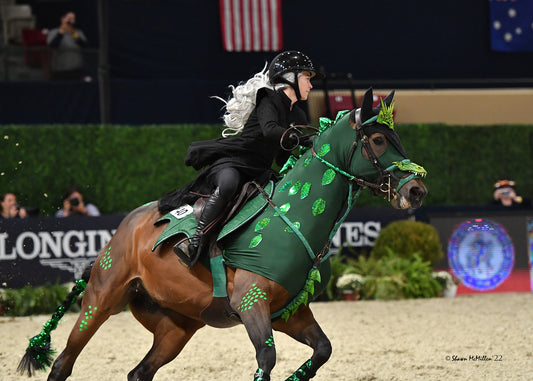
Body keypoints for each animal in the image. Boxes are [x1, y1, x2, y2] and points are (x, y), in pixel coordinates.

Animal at [17, 87, 428, 380]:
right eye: (378, 141)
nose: (416, 190)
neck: (292, 217)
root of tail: (124, 228)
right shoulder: (251, 302)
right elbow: (267, 358)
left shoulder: (290, 313)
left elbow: (322, 350)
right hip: (101, 300)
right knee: (64, 363)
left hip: (176, 327)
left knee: (138, 373)